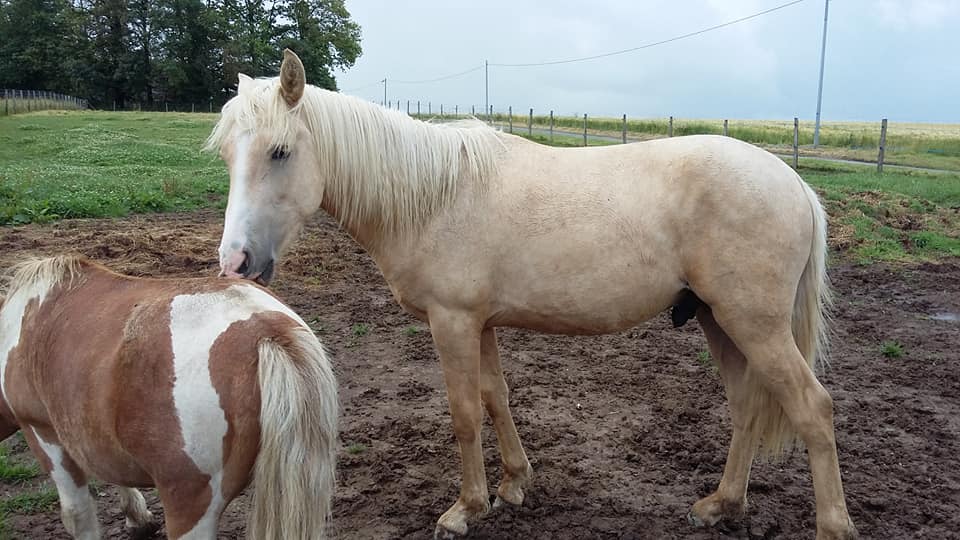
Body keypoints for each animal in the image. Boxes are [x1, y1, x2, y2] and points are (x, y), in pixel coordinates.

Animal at [206, 48, 860, 536]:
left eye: (280, 152)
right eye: (230, 154)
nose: (235, 263)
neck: (436, 196)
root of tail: (794, 182)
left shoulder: (453, 322)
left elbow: (465, 413)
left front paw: (465, 509)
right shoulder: (482, 323)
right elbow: (496, 398)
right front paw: (514, 484)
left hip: (754, 324)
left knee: (813, 407)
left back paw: (831, 525)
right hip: (718, 321)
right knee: (748, 407)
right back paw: (721, 504)